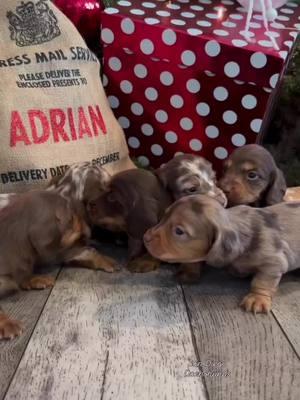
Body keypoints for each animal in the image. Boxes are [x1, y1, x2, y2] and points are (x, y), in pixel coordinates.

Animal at [144, 195, 300, 314]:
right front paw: (188, 271)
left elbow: (263, 280)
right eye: (164, 216)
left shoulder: (274, 261)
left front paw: (257, 298)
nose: (145, 238)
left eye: (179, 231)